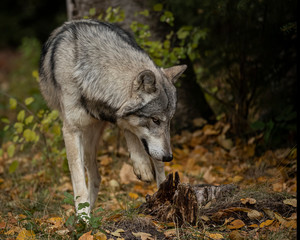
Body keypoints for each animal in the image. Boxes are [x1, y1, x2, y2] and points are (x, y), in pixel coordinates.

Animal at [38, 19, 186, 217]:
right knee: (95, 176)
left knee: (154, 164)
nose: (169, 157)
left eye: (168, 120)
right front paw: (84, 218)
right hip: (88, 143)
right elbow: (79, 183)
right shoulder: (71, 130)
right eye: (155, 120)